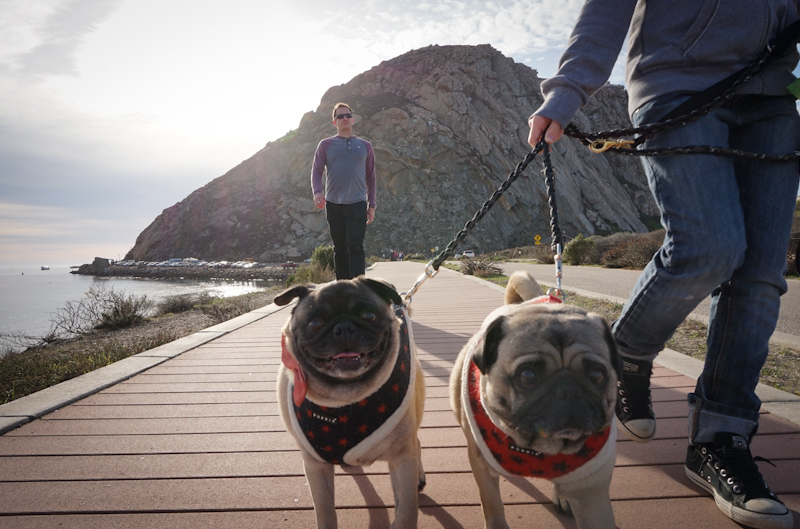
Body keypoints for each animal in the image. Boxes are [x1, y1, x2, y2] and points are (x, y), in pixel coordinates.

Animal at [276, 276, 424, 528]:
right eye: (314, 324)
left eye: (369, 316)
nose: (344, 328)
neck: (346, 398)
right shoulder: (316, 467)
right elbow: (325, 511)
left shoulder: (402, 458)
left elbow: (406, 511)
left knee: (418, 443)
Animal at [450, 272, 620, 528]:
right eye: (527, 376)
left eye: (597, 376)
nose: (568, 389)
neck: (538, 449)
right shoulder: (482, 467)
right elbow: (492, 504)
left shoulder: (592, 494)